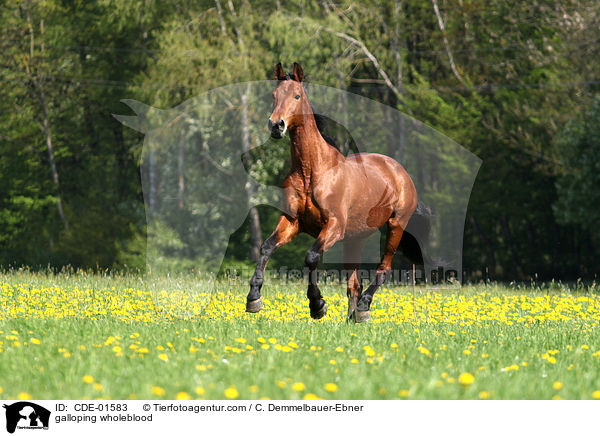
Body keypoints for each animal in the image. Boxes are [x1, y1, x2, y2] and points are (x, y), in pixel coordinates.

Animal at [246, 61, 420, 322]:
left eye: (297, 95)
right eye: (274, 95)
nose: (276, 125)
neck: (312, 172)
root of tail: (400, 173)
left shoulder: (333, 226)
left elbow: (311, 257)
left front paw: (317, 304)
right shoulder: (292, 222)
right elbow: (266, 246)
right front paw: (253, 297)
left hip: (395, 226)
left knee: (383, 269)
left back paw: (364, 307)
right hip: (356, 239)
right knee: (354, 284)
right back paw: (352, 319)